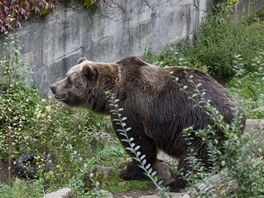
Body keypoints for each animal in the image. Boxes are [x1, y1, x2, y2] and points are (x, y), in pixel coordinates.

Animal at [50, 55, 244, 192]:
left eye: (69, 80)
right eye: (66, 75)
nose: (53, 86)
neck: (111, 92)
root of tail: (238, 112)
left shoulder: (131, 109)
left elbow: (138, 143)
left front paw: (129, 171)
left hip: (199, 126)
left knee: (195, 156)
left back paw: (175, 183)